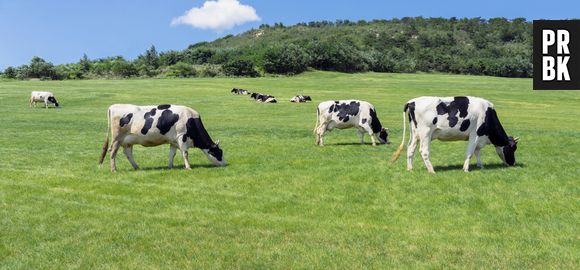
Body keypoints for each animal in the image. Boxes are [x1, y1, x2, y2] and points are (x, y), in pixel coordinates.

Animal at [97, 103, 227, 171]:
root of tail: (114, 106)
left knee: (128, 153)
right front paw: (188, 167)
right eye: (218, 153)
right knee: (112, 152)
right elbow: (185, 154)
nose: (225, 164)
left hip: (127, 141)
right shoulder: (182, 137)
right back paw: (114, 169)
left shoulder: (174, 141)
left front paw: (170, 167)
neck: (190, 119)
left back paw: (137, 167)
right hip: (117, 139)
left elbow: (172, 154)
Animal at [392, 96, 520, 173]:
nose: (513, 163)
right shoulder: (475, 134)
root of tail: (411, 102)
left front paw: (480, 166)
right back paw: (431, 170)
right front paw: (466, 169)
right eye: (512, 148)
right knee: (424, 151)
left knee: (410, 149)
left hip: (415, 133)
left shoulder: (479, 138)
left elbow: (477, 152)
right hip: (426, 133)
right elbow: (470, 152)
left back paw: (410, 169)